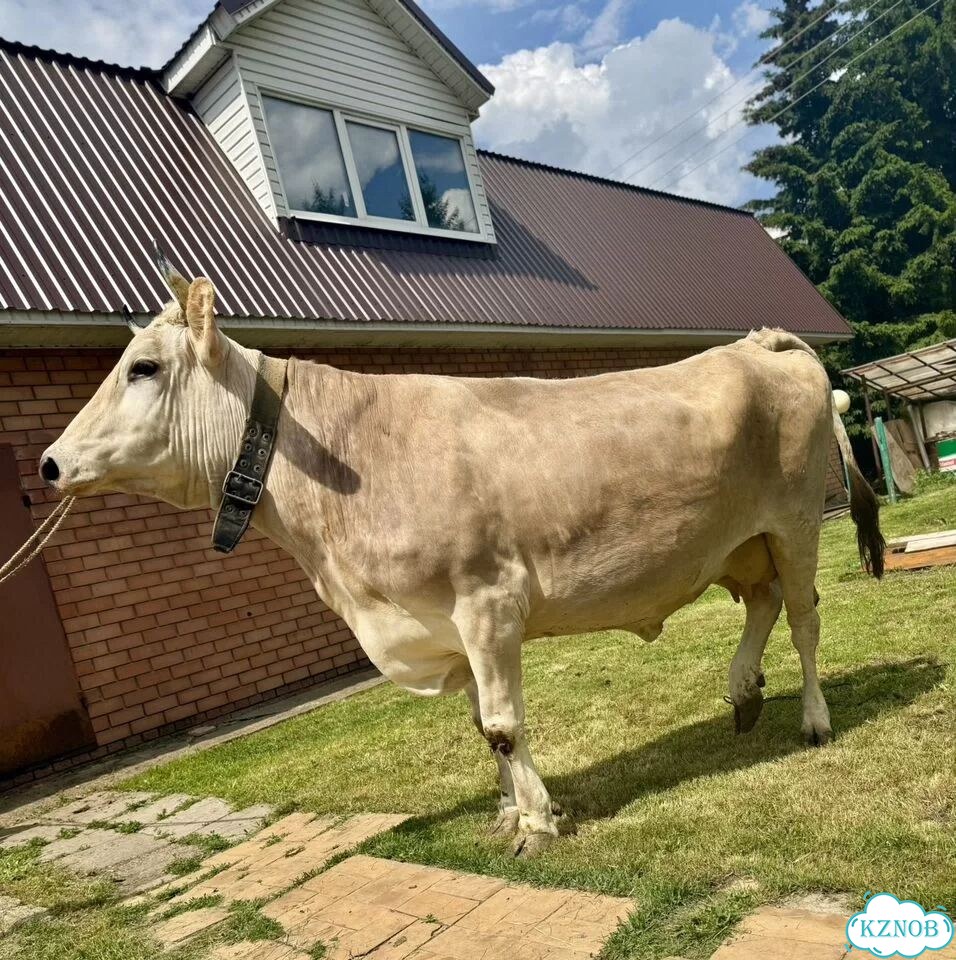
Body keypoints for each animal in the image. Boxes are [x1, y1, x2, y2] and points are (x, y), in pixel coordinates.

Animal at [40, 266, 884, 857]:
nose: (49, 464)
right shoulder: (442, 621)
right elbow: (483, 726)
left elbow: (504, 725)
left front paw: (537, 822)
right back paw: (742, 695)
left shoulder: (487, 601)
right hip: (737, 543)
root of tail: (758, 340)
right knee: (763, 605)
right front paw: (509, 808)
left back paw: (813, 719)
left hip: (796, 523)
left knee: (804, 619)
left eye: (143, 367)